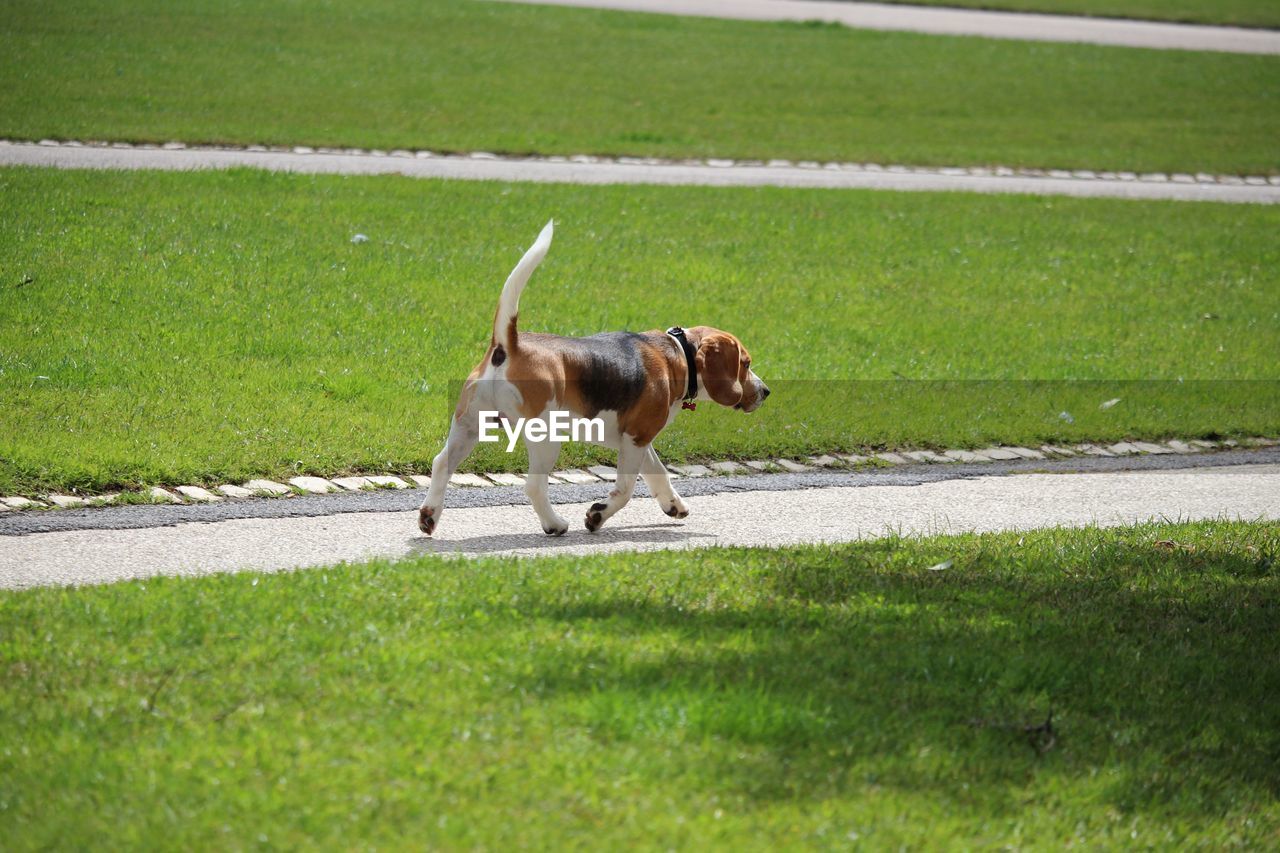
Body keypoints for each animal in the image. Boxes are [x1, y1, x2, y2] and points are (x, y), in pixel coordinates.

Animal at [417, 222, 768, 535]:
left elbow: (658, 473)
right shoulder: (637, 438)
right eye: (746, 363)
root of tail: (508, 345)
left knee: (441, 463)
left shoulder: (638, 438)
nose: (765, 391)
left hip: (468, 426)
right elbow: (625, 489)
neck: (678, 354)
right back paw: (555, 525)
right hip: (545, 438)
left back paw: (429, 516)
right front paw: (597, 516)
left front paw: (674, 505)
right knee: (533, 486)